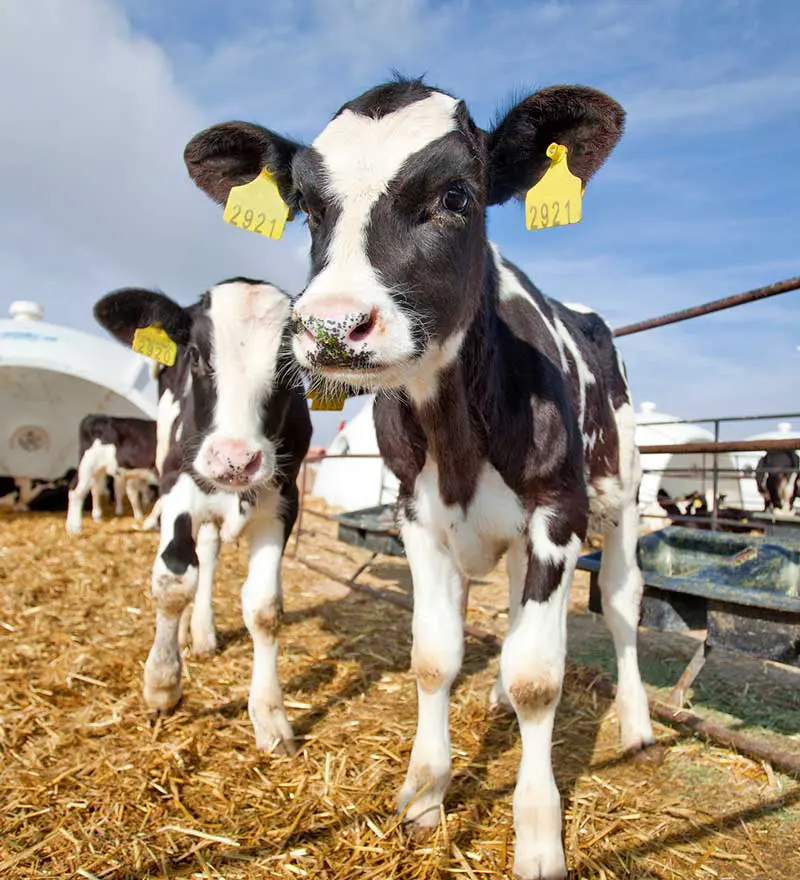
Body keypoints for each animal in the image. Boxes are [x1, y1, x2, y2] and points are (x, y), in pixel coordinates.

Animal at [93, 277, 312, 753]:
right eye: (195, 354)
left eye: (290, 364)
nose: (235, 460)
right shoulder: (177, 483)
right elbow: (174, 581)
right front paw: (162, 684)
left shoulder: (283, 502)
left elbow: (265, 607)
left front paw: (270, 716)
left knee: (208, 552)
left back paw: (203, 631)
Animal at [183, 77, 655, 878]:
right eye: (307, 207)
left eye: (457, 196)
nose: (332, 326)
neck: (458, 435)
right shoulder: (418, 516)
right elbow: (435, 659)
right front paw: (424, 797)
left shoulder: (556, 513)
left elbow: (540, 678)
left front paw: (538, 837)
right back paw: (496, 698)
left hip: (620, 498)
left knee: (623, 607)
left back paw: (635, 724)